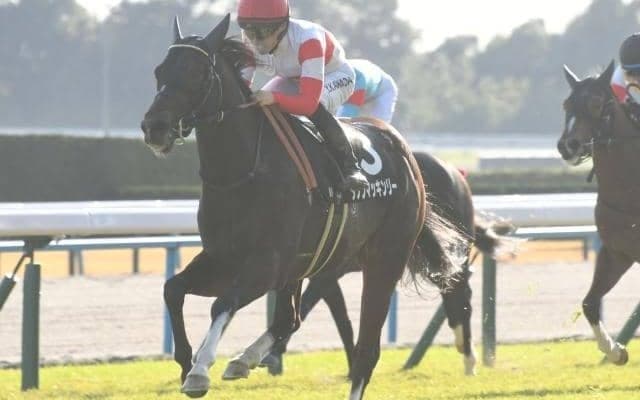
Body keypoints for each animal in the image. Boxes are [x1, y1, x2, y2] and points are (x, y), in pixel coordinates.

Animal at [141, 15, 468, 399]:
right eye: (159, 71)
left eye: (197, 73)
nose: (154, 127)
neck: (242, 173)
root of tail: (405, 155)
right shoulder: (223, 258)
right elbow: (173, 289)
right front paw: (185, 361)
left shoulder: (266, 264)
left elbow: (221, 303)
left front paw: (200, 370)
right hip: (313, 263)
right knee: (289, 318)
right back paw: (246, 359)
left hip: (384, 260)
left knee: (366, 350)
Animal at [261, 151, 510, 377]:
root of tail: (456, 173)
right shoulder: (325, 275)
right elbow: (341, 318)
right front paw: (353, 366)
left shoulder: (328, 273)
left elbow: (309, 307)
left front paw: (272, 354)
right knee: (453, 293)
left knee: (459, 296)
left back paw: (469, 358)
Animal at [558, 60, 639, 365]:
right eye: (566, 104)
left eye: (595, 102)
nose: (566, 145)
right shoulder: (617, 251)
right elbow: (590, 303)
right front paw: (615, 351)